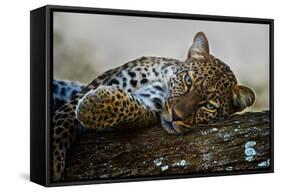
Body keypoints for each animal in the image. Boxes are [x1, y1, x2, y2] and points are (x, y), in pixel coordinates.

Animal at [51, 32, 255, 181]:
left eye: (210, 106)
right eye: (188, 80)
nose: (176, 115)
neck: (164, 82)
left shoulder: (148, 104)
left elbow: (130, 109)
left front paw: (94, 105)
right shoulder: (94, 86)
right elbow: (64, 120)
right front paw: (54, 163)